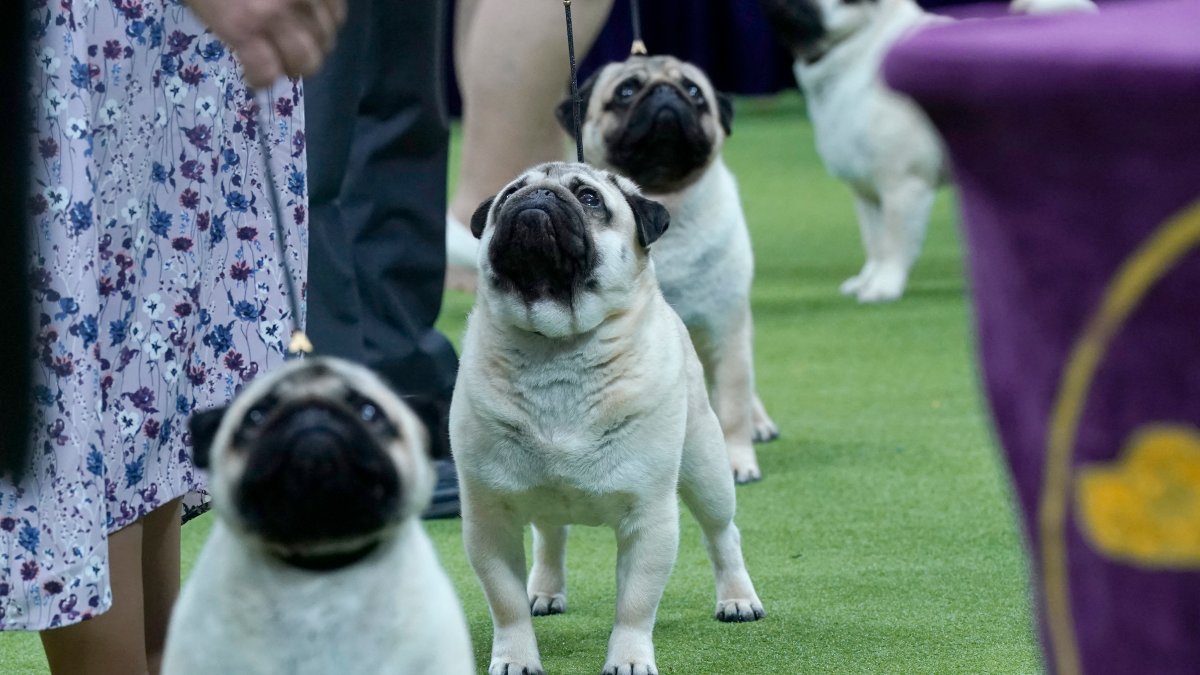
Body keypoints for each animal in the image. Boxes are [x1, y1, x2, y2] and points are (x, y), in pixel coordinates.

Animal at [453, 163, 763, 672]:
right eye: (509, 195)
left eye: (589, 198)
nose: (539, 195)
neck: (557, 347)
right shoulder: (490, 520)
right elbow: (506, 603)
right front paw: (516, 656)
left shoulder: (648, 519)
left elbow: (634, 605)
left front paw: (629, 658)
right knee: (551, 536)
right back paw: (545, 590)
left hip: (706, 471)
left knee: (722, 533)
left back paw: (737, 598)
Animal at [559, 55, 777, 480]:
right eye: (626, 91)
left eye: (693, 91)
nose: (665, 92)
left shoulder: (726, 330)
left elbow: (732, 405)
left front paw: (737, 460)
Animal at [763, 0, 1099, 302]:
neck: (863, 43)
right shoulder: (866, 193)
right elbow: (874, 242)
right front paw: (867, 280)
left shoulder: (901, 186)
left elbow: (894, 243)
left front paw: (884, 287)